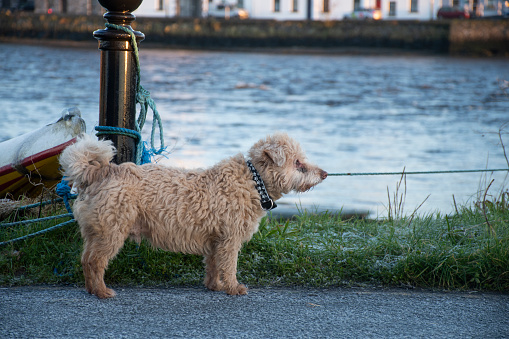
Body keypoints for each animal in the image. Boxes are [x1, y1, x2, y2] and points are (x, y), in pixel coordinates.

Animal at [59, 133, 328, 300]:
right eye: (298, 163)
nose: (324, 173)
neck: (254, 181)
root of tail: (100, 172)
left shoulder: (215, 240)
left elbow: (213, 265)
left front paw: (215, 286)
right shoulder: (230, 239)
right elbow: (229, 266)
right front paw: (233, 288)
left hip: (96, 232)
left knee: (85, 259)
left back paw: (91, 290)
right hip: (112, 231)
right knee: (96, 262)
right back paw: (102, 292)